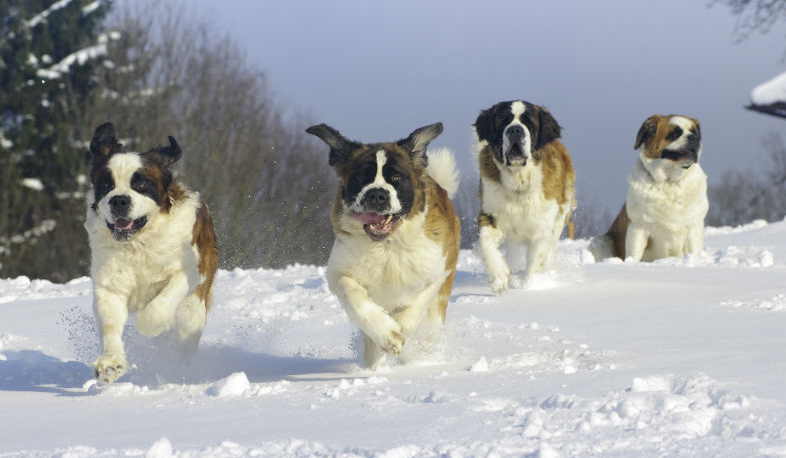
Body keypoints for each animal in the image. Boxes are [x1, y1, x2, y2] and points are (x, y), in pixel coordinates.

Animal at [85, 121, 217, 382]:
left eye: (141, 185)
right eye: (107, 185)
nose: (119, 200)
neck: (139, 242)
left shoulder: (187, 272)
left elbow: (157, 308)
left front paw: (151, 326)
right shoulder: (109, 287)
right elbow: (110, 324)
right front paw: (110, 363)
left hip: (193, 309)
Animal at [304, 121, 460, 368]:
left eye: (396, 178)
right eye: (361, 177)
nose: (377, 194)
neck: (387, 245)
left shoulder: (438, 268)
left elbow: (417, 304)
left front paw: (400, 327)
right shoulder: (338, 272)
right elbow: (352, 294)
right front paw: (388, 334)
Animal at [472, 100, 576, 294]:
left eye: (528, 123)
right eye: (504, 121)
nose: (515, 130)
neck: (518, 181)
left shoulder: (543, 227)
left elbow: (536, 261)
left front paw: (529, 287)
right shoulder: (490, 214)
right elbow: (486, 242)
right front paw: (499, 276)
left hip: (561, 216)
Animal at [588, 114, 704, 262]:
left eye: (695, 132)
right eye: (675, 133)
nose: (693, 138)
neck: (668, 182)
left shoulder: (694, 227)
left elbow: (693, 250)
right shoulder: (638, 227)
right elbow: (634, 253)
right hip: (600, 242)